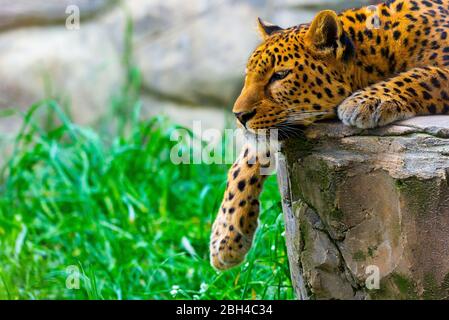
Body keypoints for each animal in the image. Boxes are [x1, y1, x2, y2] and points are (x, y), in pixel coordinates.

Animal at [210, 0, 448, 270]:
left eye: (280, 75)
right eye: (247, 76)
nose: (239, 115)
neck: (379, 50)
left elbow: (425, 75)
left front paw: (363, 102)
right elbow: (245, 160)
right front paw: (225, 237)